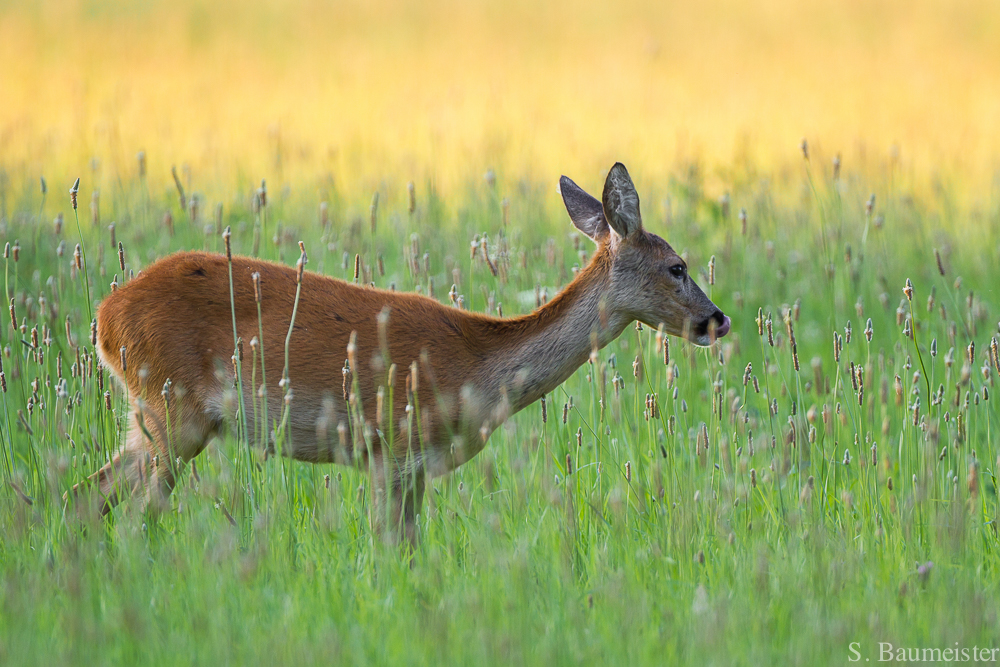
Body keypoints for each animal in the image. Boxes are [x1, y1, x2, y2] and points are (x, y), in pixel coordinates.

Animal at [70, 164, 728, 544]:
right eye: (678, 266)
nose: (716, 320)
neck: (478, 372)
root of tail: (105, 316)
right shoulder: (397, 449)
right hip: (171, 409)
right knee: (129, 511)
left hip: (152, 418)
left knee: (86, 495)